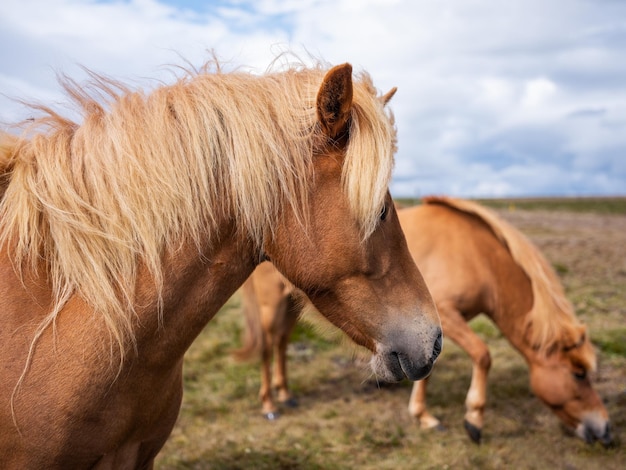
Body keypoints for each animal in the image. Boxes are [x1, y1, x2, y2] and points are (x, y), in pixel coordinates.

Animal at [238, 196, 608, 446]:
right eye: (579, 374)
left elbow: (427, 367)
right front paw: (473, 419)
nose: (606, 431)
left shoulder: (427, 332)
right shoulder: (445, 316)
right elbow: (482, 355)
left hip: (290, 304)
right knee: (267, 347)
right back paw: (270, 403)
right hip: (271, 305)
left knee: (282, 343)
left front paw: (422, 416)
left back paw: (286, 393)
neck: (475, 254)